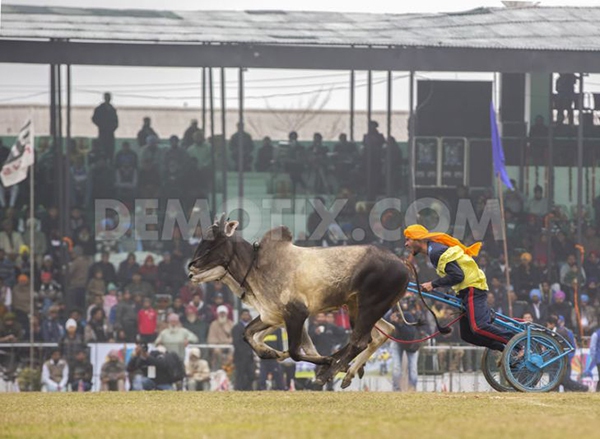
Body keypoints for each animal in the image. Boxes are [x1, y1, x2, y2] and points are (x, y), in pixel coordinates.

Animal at [190, 215, 410, 390]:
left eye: (212, 242)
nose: (191, 268)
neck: (256, 266)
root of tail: (402, 264)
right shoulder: (272, 315)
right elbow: (249, 334)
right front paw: (272, 352)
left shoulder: (296, 314)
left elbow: (296, 351)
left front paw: (322, 361)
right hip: (357, 308)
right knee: (375, 336)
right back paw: (344, 370)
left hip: (370, 306)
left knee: (360, 341)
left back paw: (329, 372)